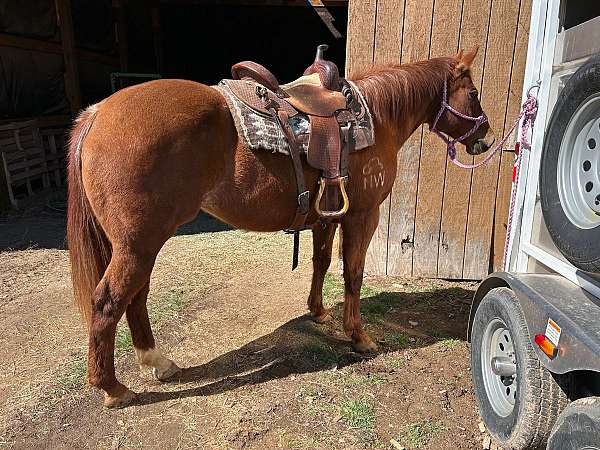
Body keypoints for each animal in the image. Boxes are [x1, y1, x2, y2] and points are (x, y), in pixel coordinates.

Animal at [68, 46, 494, 408]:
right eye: (473, 93)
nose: (486, 140)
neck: (376, 116)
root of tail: (96, 114)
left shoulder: (327, 215)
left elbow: (321, 262)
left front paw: (318, 313)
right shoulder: (362, 215)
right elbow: (353, 273)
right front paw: (359, 336)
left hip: (140, 244)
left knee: (136, 297)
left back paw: (158, 362)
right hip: (139, 244)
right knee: (108, 303)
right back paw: (112, 387)